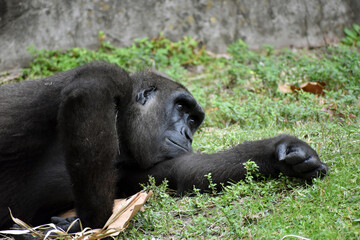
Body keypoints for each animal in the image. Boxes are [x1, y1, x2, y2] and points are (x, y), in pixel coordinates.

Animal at [0, 62, 328, 231]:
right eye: (180, 107)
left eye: (194, 120)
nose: (187, 134)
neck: (121, 122)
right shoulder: (108, 78)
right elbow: (87, 93)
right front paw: (92, 221)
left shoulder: (135, 166)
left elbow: (182, 171)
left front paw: (282, 151)